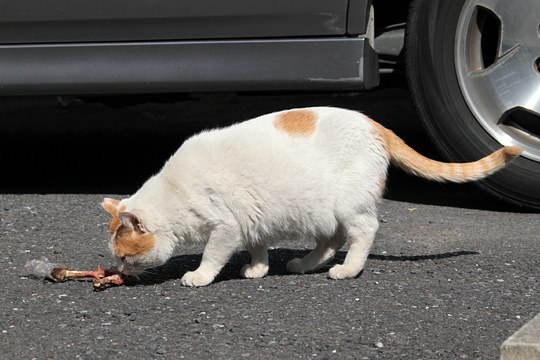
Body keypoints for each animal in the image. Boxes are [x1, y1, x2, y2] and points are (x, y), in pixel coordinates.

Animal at [101, 107, 524, 286]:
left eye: (125, 257)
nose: (118, 272)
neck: (174, 192)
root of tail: (374, 123)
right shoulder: (252, 219)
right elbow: (258, 246)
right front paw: (258, 269)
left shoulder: (226, 226)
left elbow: (212, 255)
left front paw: (199, 276)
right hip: (320, 211)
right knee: (332, 240)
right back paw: (304, 265)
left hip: (347, 204)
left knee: (364, 232)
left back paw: (347, 270)